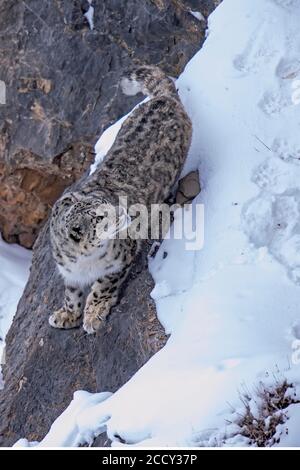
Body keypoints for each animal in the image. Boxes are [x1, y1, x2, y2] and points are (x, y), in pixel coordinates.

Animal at [49, 65, 192, 334]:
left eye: (106, 202)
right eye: (100, 217)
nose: (126, 214)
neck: (84, 262)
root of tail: (162, 99)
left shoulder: (119, 262)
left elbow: (102, 286)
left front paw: (93, 314)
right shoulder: (69, 273)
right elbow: (71, 294)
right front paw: (66, 315)